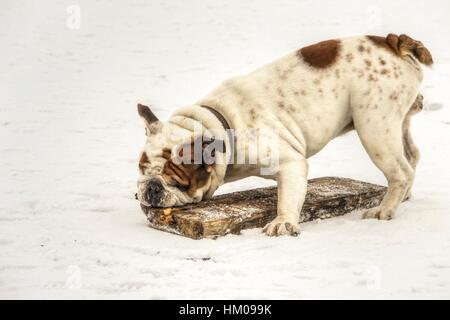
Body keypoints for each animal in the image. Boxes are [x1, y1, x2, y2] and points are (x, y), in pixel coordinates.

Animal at [137, 33, 432, 236]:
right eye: (142, 169)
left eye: (179, 182)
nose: (152, 187)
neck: (220, 122)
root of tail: (393, 42)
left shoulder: (290, 163)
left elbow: (287, 197)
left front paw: (283, 223)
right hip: (394, 123)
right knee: (411, 157)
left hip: (373, 128)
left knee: (400, 171)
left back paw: (384, 209)